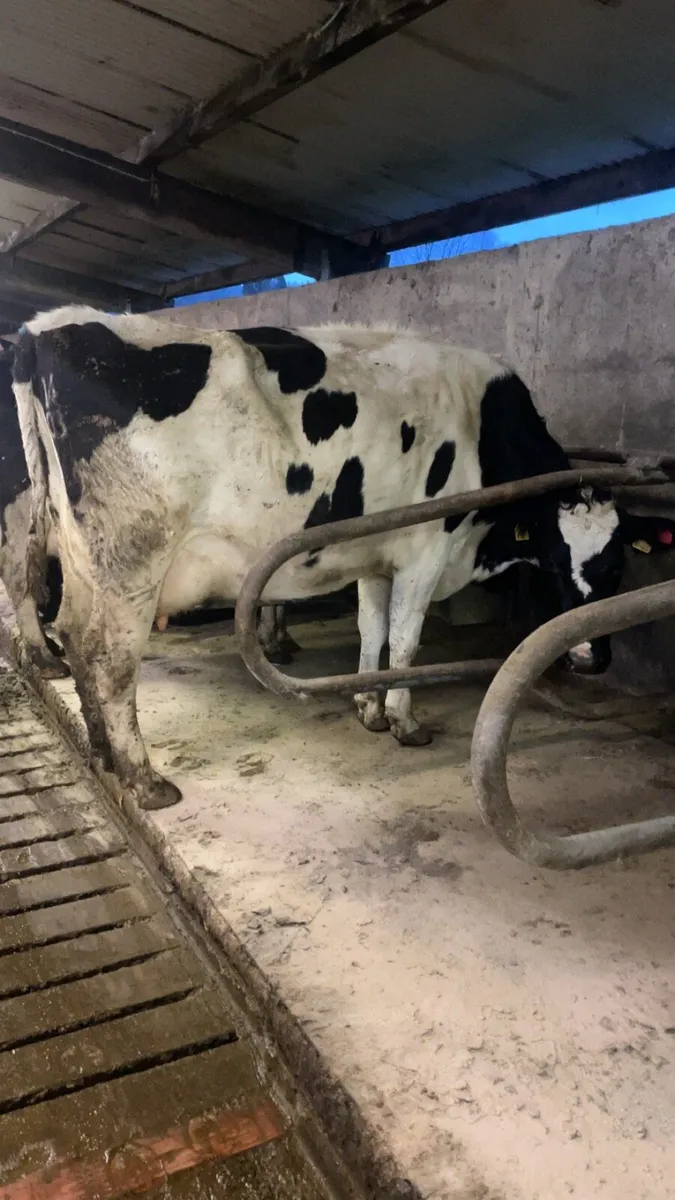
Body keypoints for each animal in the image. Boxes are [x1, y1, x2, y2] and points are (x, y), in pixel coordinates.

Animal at [11, 307, 675, 811]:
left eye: (616, 565)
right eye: (557, 564)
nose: (589, 657)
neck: (482, 428)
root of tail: (46, 328)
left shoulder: (377, 557)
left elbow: (372, 629)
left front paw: (367, 708)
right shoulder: (424, 550)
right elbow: (405, 641)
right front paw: (406, 723)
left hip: (83, 561)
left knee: (73, 636)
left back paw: (101, 752)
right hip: (132, 564)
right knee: (109, 660)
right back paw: (145, 780)